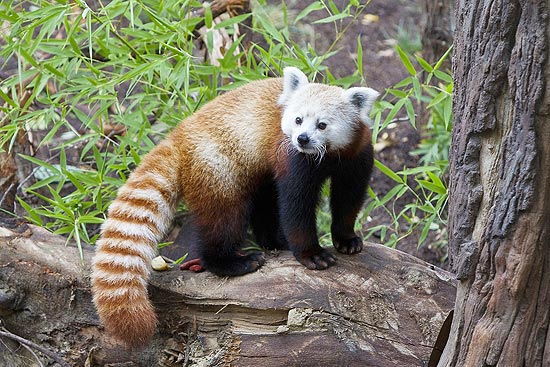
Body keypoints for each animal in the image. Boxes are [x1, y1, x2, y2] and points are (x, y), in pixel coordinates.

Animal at [91, 67, 380, 348]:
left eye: (322, 124)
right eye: (298, 120)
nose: (302, 139)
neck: (329, 157)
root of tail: (179, 135)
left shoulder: (357, 156)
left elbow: (348, 200)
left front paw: (346, 239)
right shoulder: (292, 158)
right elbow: (296, 207)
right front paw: (312, 254)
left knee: (263, 204)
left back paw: (274, 242)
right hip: (219, 169)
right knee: (224, 220)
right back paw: (233, 262)